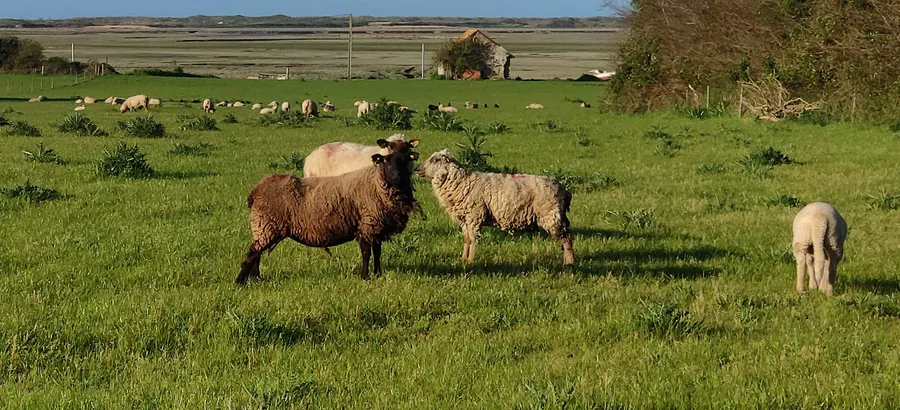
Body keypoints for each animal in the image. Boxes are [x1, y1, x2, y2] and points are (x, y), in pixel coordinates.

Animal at [236, 150, 420, 284]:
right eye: (385, 161)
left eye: (404, 161)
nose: (396, 175)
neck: (376, 183)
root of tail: (256, 190)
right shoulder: (367, 224)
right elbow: (367, 253)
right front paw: (365, 277)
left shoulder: (376, 227)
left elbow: (377, 252)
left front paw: (378, 274)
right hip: (267, 224)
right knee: (253, 253)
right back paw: (240, 281)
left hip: (265, 225)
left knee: (257, 252)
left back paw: (256, 278)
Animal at [416, 149, 575, 266]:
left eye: (435, 160)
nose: (417, 169)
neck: (463, 182)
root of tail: (565, 190)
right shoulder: (466, 220)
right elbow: (466, 240)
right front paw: (463, 259)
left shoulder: (474, 216)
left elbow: (473, 240)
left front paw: (471, 261)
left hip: (551, 215)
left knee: (566, 238)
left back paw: (569, 263)